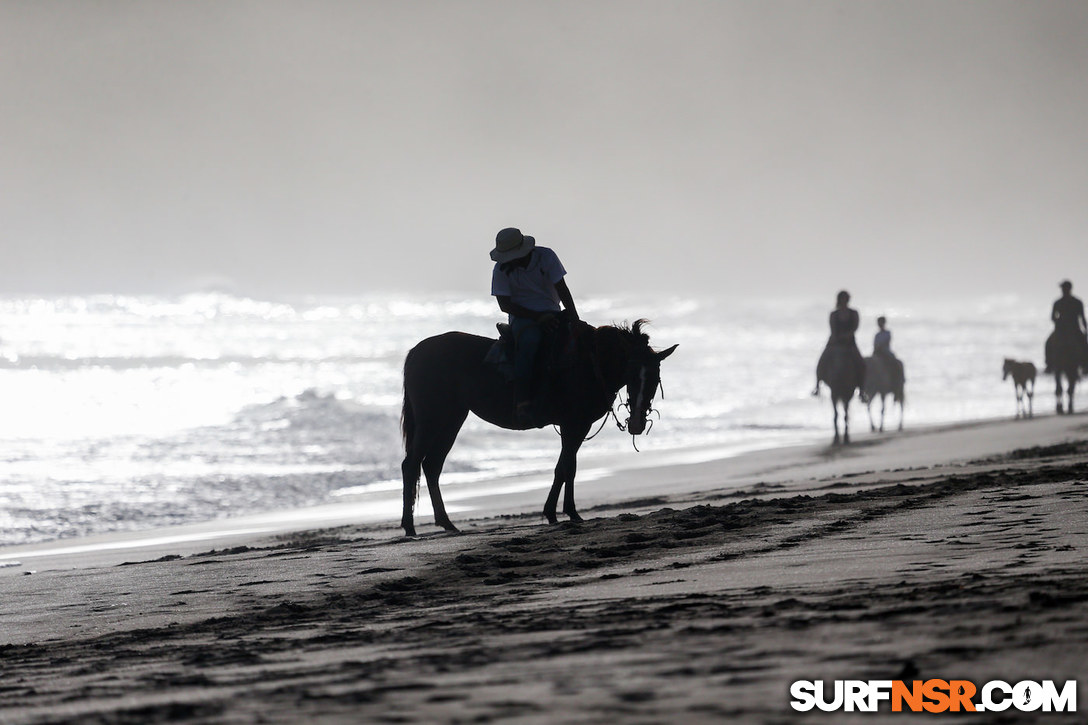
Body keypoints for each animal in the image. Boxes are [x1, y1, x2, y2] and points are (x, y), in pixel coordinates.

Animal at [400, 320, 674, 533]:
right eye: (631, 373)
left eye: (655, 379)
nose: (637, 424)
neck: (589, 364)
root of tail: (416, 351)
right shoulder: (574, 424)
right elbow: (564, 468)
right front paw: (558, 513)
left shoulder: (577, 426)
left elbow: (568, 468)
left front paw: (566, 512)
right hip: (431, 418)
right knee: (411, 464)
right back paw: (409, 527)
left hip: (452, 419)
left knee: (432, 466)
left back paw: (446, 523)